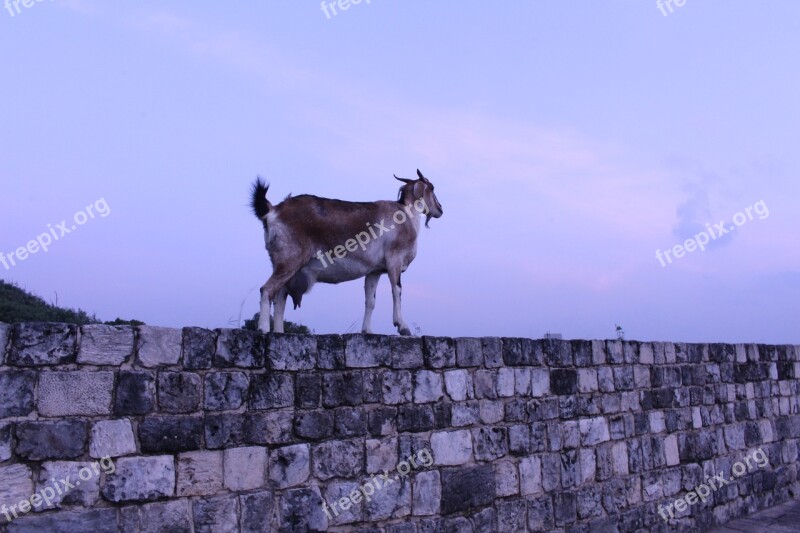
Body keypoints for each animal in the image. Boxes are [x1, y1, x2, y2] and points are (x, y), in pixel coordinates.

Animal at [248, 168, 444, 334]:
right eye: (432, 187)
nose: (440, 209)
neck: (406, 214)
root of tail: (272, 211)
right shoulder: (394, 261)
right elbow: (397, 291)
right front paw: (402, 326)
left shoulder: (374, 271)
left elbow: (370, 301)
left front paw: (367, 331)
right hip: (289, 260)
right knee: (267, 290)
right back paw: (263, 329)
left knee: (280, 297)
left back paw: (279, 332)